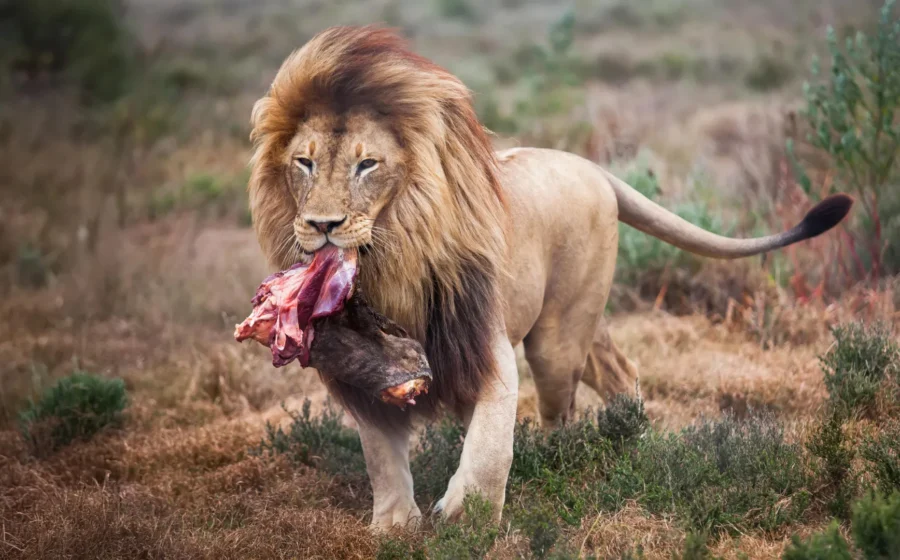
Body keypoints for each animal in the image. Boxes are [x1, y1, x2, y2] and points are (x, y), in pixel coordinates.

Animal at [247, 26, 852, 529]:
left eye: (366, 164)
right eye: (304, 162)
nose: (322, 225)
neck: (391, 263)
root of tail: (592, 167)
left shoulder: (483, 344)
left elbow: (491, 441)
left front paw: (467, 513)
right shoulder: (362, 373)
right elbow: (381, 455)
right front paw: (394, 525)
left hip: (557, 337)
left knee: (562, 409)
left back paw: (562, 455)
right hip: (582, 319)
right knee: (619, 369)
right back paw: (631, 435)